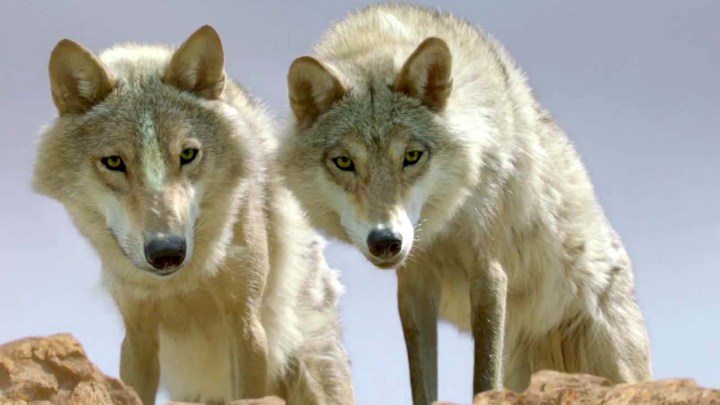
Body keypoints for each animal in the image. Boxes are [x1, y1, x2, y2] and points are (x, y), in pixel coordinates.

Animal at [32, 25, 355, 405]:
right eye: (114, 162)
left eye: (187, 154)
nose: (167, 252)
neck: (181, 283)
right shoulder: (138, 334)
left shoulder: (246, 326)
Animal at [280, 3, 653, 404]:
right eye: (344, 162)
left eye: (412, 156)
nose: (385, 241)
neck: (446, 221)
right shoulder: (414, 285)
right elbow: (422, 385)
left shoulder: (489, 272)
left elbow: (484, 378)